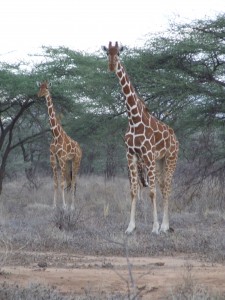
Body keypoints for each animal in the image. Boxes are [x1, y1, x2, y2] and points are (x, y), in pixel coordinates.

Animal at [36, 81, 82, 210]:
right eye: (39, 87)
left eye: (46, 88)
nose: (38, 95)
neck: (56, 135)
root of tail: (80, 149)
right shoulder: (53, 158)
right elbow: (56, 183)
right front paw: (54, 205)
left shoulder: (61, 158)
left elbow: (61, 183)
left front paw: (64, 206)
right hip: (68, 163)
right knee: (69, 181)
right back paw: (69, 204)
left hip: (76, 161)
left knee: (73, 181)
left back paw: (72, 206)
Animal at [102, 42, 179, 234]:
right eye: (107, 53)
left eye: (118, 53)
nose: (111, 66)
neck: (134, 119)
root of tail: (175, 137)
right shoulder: (131, 155)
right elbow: (134, 191)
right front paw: (130, 227)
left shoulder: (148, 155)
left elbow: (151, 192)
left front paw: (155, 227)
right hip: (159, 161)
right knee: (163, 186)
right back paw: (166, 225)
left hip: (171, 157)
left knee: (167, 187)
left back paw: (165, 226)